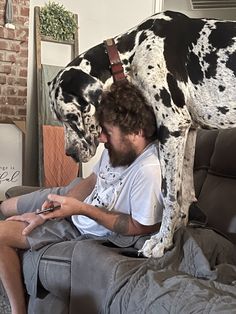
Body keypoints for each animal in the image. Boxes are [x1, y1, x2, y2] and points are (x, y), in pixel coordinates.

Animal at [47, 11, 236, 258]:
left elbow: (169, 194)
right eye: (58, 118)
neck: (136, 48)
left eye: (70, 117)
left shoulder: (171, 127)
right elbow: (184, 193)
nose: (69, 153)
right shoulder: (189, 131)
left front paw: (161, 241)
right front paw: (176, 233)